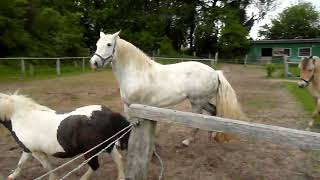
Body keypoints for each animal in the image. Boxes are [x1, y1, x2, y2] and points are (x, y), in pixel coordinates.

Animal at [0, 93, 130, 180]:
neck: (23, 118)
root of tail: (109, 114)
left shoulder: (36, 152)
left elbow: (48, 167)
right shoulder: (28, 150)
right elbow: (21, 164)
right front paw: (12, 176)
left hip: (91, 151)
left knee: (94, 166)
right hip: (108, 145)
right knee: (117, 159)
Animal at [89, 31, 241, 146]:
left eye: (109, 44)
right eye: (97, 44)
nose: (94, 63)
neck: (136, 72)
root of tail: (215, 72)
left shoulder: (138, 108)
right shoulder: (127, 106)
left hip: (197, 103)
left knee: (200, 120)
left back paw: (187, 141)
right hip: (201, 102)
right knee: (212, 113)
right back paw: (210, 136)